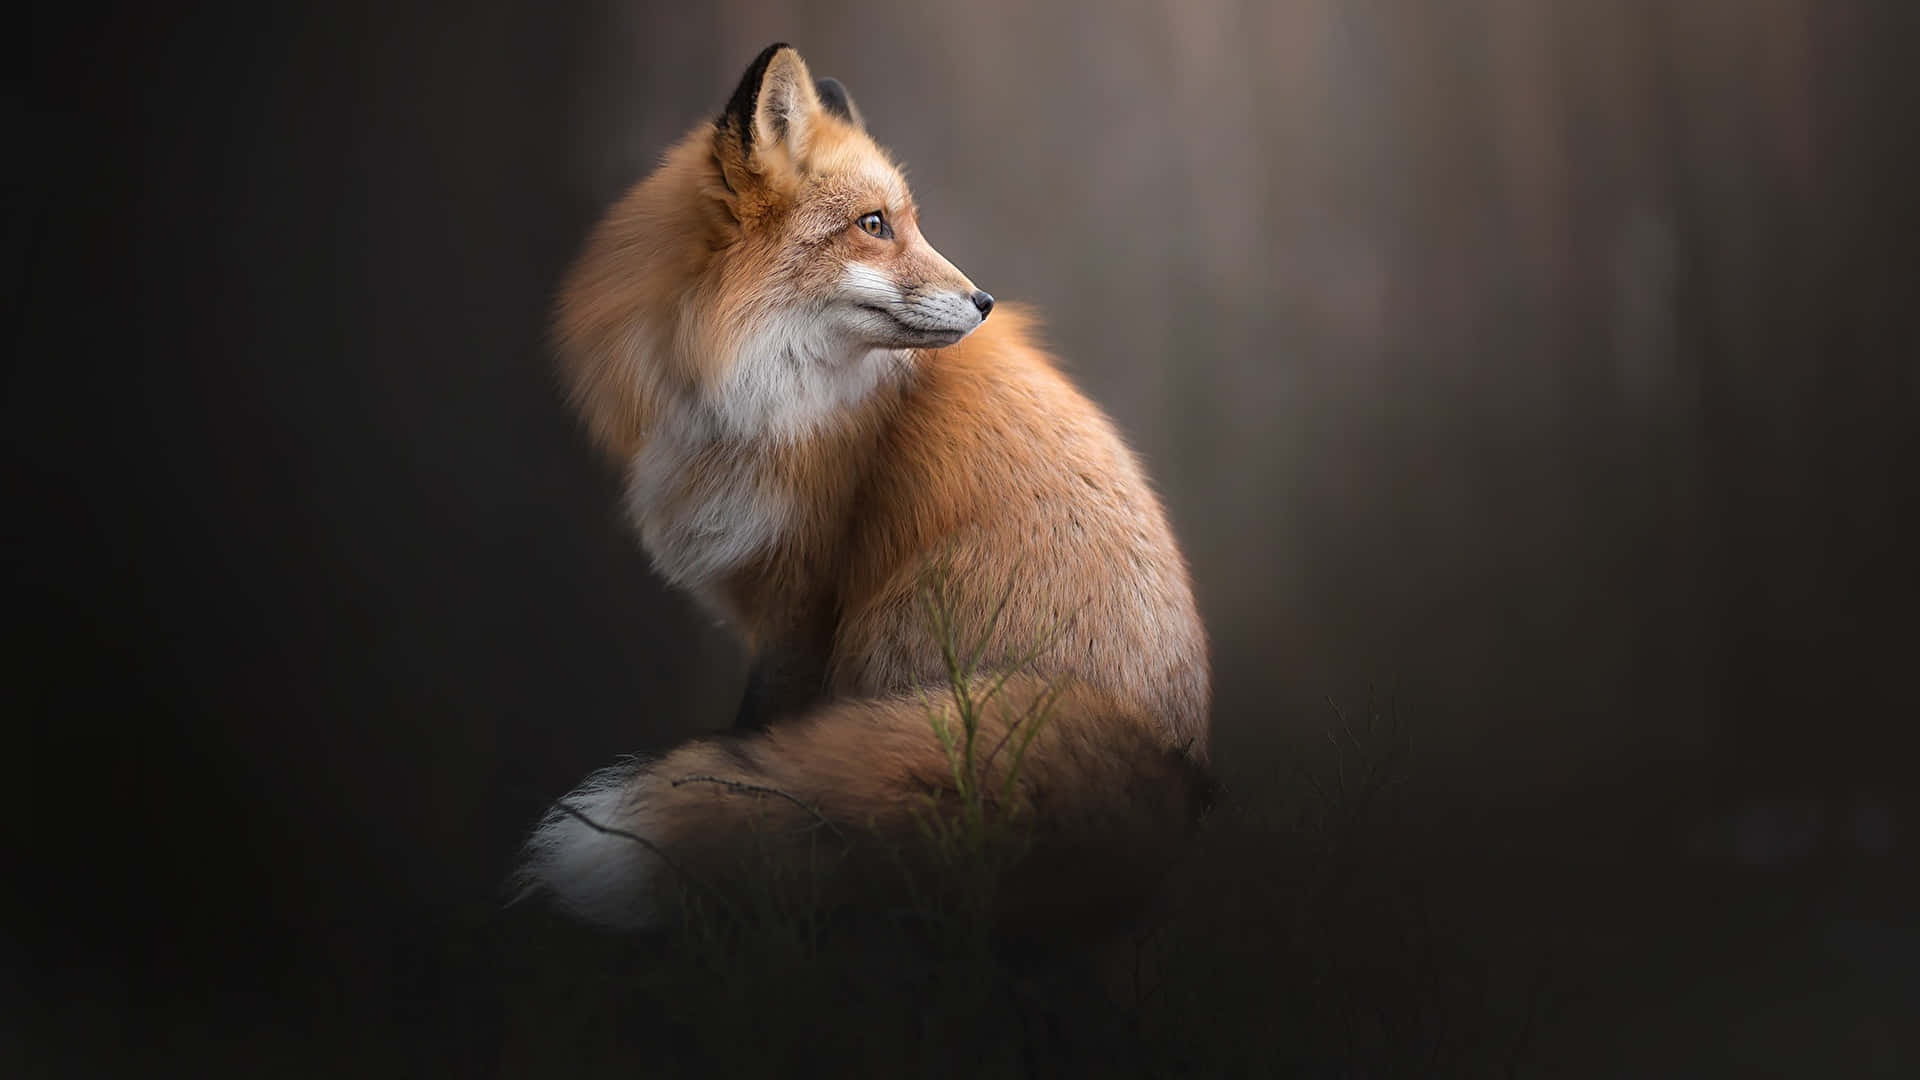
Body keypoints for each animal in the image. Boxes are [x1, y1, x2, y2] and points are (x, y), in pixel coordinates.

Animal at [519, 43, 1212, 937]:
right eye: (874, 224)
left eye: (905, 221)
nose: (985, 302)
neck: (744, 394)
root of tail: (1173, 761)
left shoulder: (806, 598)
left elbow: (760, 729)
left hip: (904, 625)